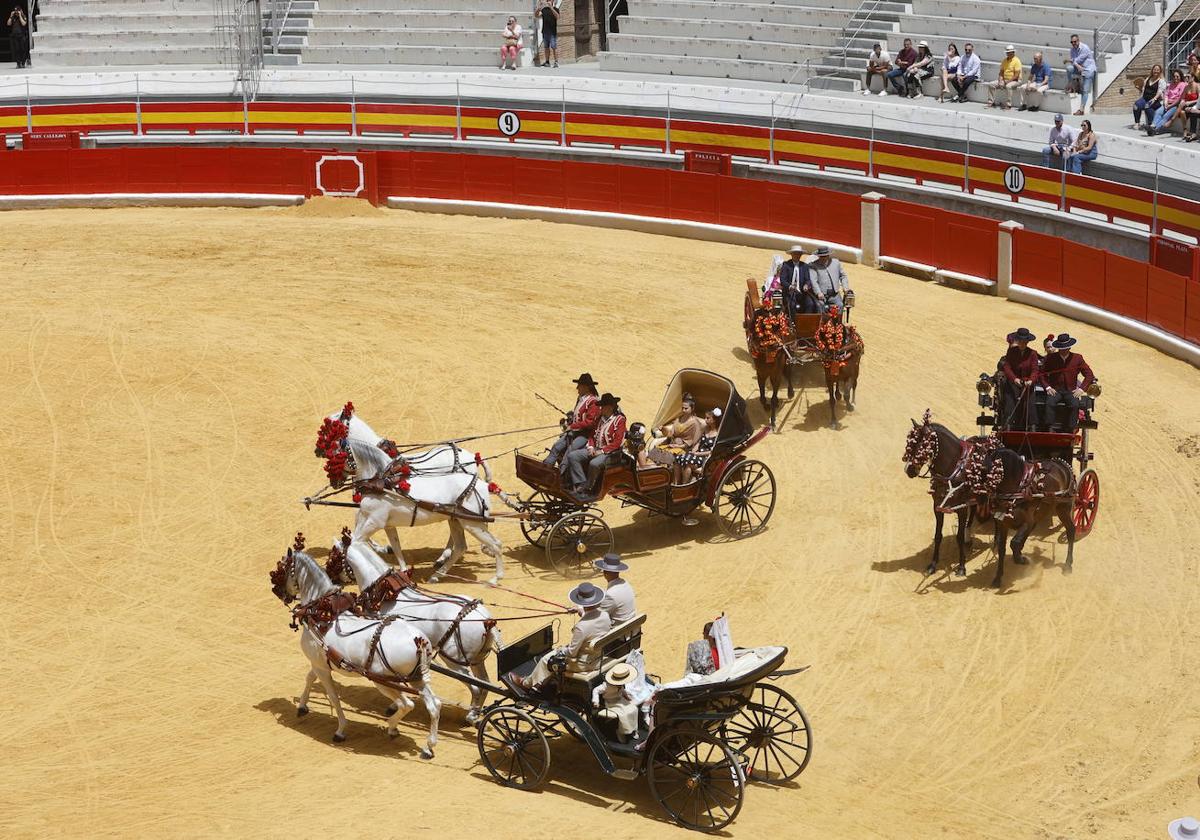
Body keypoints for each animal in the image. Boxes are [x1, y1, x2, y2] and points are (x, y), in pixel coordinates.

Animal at [270, 547, 444, 758]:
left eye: (282, 568)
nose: (278, 592)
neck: (322, 613)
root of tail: (418, 639)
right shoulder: (318, 663)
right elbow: (309, 678)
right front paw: (302, 706)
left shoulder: (322, 667)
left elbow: (333, 697)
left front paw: (340, 730)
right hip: (416, 680)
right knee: (434, 705)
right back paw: (428, 745)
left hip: (383, 681)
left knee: (407, 704)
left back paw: (392, 727)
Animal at [328, 542, 501, 724]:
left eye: (333, 557)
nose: (331, 582)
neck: (385, 593)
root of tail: (487, 620)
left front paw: (394, 707)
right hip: (476, 660)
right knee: (484, 683)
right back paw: (475, 714)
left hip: (455, 661)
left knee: (476, 687)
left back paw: (471, 715)